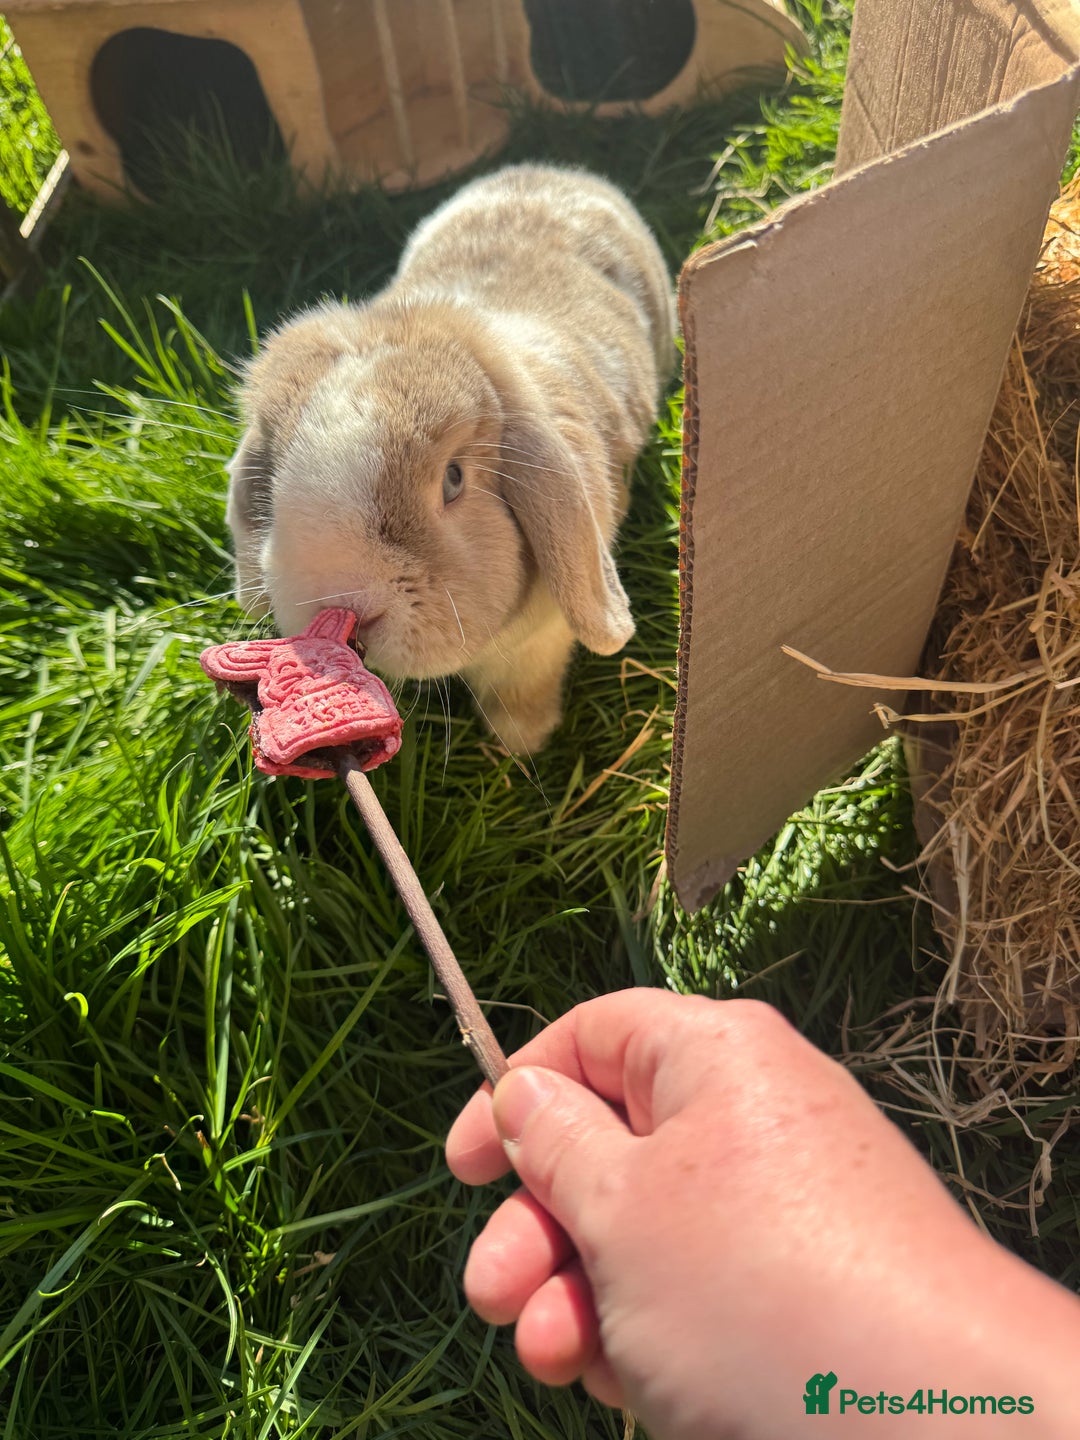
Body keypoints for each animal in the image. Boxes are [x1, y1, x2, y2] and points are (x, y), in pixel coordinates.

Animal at [225, 163, 675, 754]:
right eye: (272, 488)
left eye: (454, 480)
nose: (341, 605)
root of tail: (552, 172)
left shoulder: (538, 647)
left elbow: (521, 695)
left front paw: (521, 744)